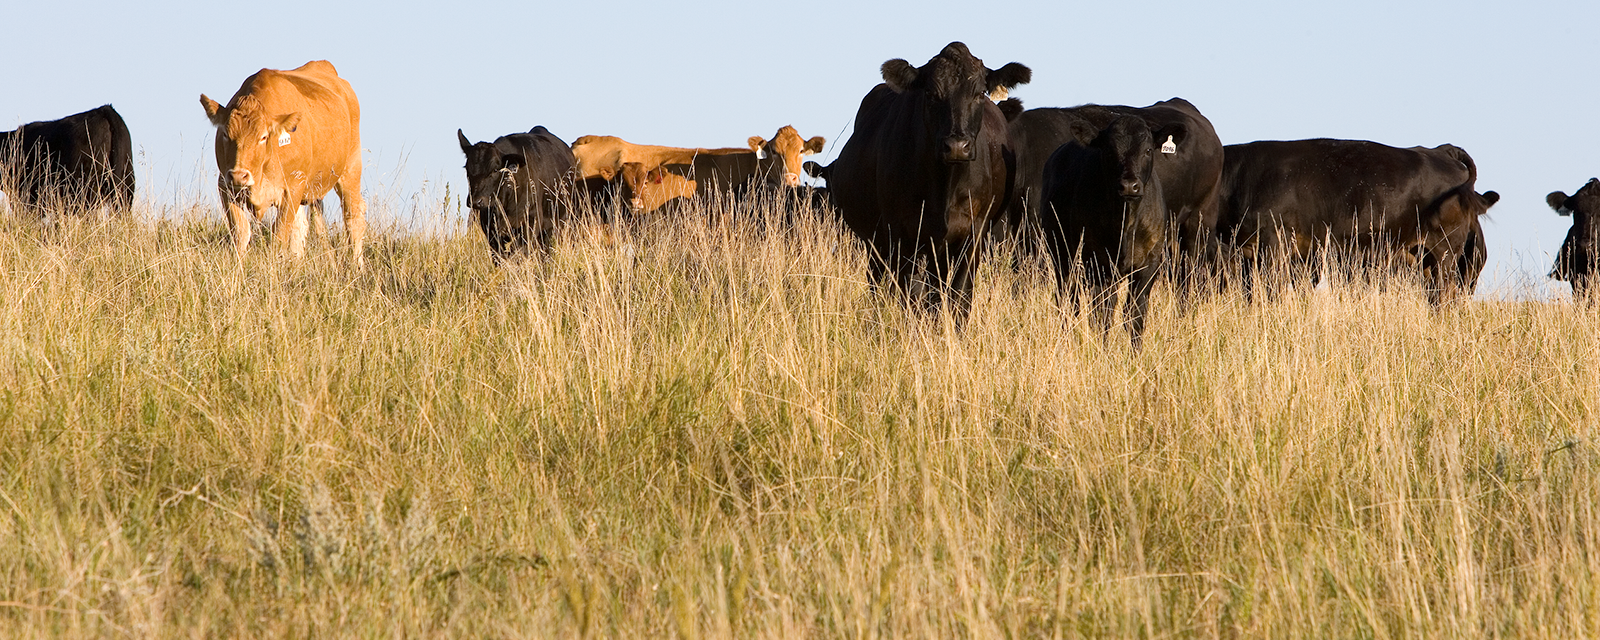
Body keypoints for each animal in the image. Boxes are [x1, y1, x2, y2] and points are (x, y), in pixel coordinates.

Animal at [200, 60, 366, 265]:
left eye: (263, 137)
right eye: (225, 133)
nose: (239, 175)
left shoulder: (292, 189)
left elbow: (279, 235)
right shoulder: (225, 186)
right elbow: (241, 232)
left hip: (351, 169)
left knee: (353, 217)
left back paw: (357, 266)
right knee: (304, 227)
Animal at [460, 126, 579, 260]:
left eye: (495, 169)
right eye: (467, 168)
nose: (476, 201)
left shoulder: (532, 221)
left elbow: (517, 253)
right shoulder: (490, 230)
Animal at [819, 41, 1030, 312]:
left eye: (979, 93)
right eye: (930, 93)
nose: (956, 146)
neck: (945, 187)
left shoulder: (973, 236)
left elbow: (958, 297)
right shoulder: (902, 235)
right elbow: (911, 296)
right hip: (876, 243)